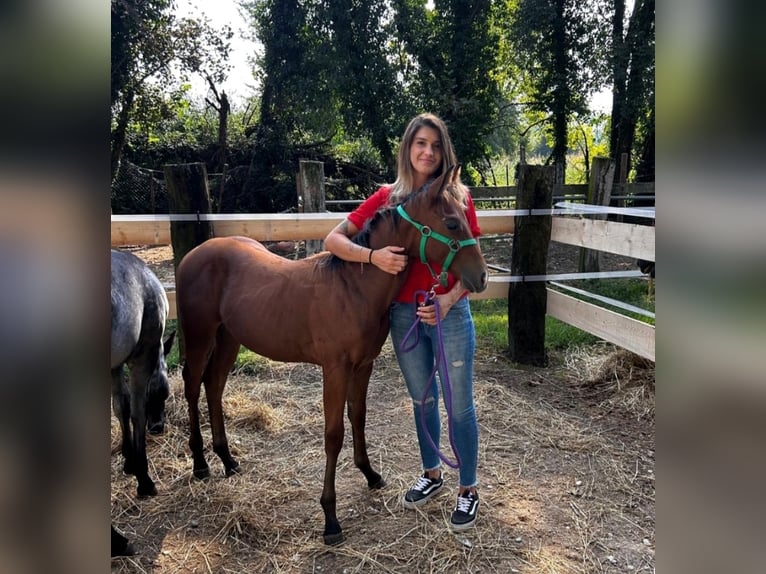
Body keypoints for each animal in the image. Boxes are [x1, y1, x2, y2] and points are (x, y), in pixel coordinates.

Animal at [111, 249, 175, 497]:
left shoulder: (115, 364)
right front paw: (144, 478)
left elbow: (121, 406)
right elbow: (137, 412)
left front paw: (129, 460)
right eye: (162, 391)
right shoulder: (142, 359)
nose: (157, 427)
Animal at [175, 165, 488, 544]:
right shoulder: (335, 369)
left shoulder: (363, 365)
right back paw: (200, 463)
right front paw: (330, 518)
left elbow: (359, 417)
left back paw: (227, 460)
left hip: (229, 337)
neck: (354, 287)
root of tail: (194, 254)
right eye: (452, 223)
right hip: (200, 335)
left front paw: (370, 474)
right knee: (193, 385)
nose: (482, 277)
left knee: (214, 384)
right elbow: (334, 434)